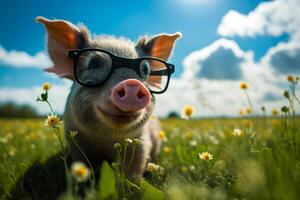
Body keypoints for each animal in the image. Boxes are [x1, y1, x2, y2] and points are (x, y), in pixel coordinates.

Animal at [36, 16, 179, 180]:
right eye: (93, 64)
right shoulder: (75, 143)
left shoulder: (142, 142)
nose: (132, 83)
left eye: (145, 69)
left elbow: (133, 170)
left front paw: (132, 182)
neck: (106, 140)